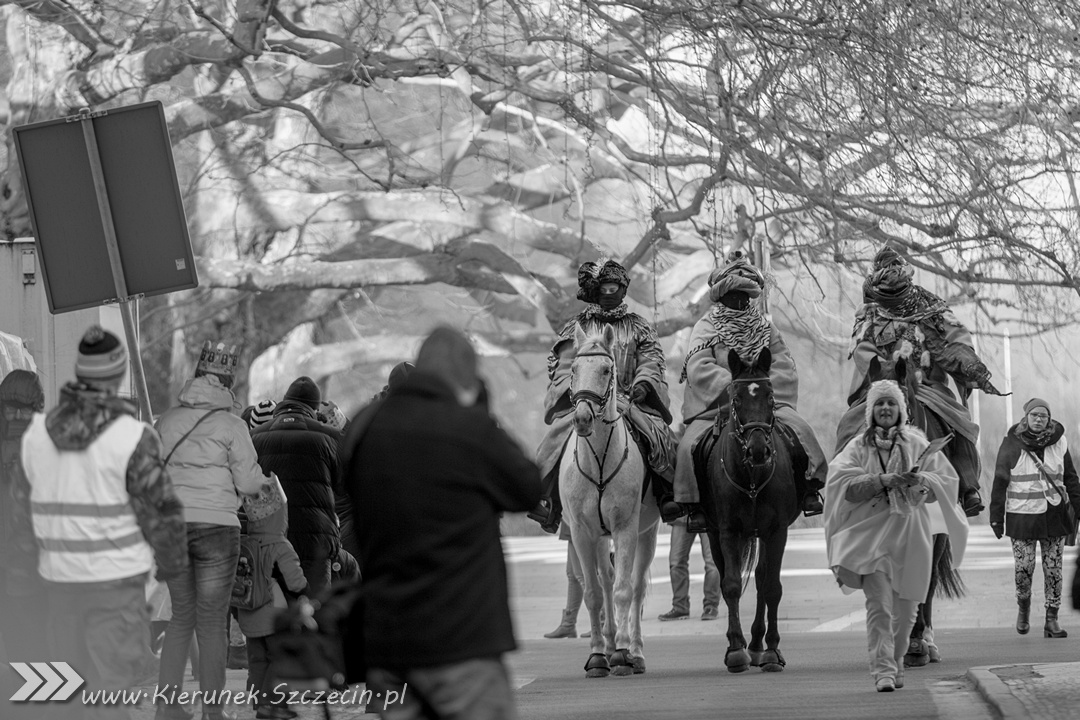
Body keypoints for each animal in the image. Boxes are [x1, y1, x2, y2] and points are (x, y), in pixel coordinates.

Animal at [559, 324, 660, 678]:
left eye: (606, 369)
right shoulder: (581, 532)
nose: (582, 419)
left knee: (637, 587)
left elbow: (624, 590)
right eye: (574, 369)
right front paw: (597, 655)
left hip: (648, 533)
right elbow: (592, 593)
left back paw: (635, 652)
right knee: (604, 583)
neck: (599, 459)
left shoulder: (625, 527)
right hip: (600, 538)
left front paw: (621, 654)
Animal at [700, 348, 800, 673]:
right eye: (736, 399)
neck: (752, 477)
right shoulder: (728, 531)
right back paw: (746, 644)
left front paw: (772, 650)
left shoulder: (777, 531)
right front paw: (735, 650)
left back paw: (757, 644)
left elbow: (772, 587)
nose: (758, 450)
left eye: (770, 397)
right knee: (726, 578)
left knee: (760, 578)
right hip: (715, 532)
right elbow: (730, 585)